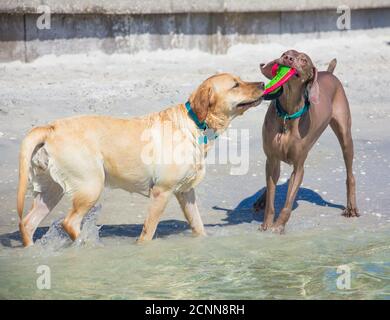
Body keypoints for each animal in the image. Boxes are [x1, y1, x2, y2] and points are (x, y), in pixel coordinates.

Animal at [253, 50, 360, 234]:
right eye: (285, 53)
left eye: (304, 60)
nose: (288, 58)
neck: (288, 113)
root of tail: (329, 73)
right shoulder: (272, 159)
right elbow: (272, 196)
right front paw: (267, 223)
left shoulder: (298, 167)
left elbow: (288, 202)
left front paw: (279, 225)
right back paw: (262, 199)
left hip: (345, 135)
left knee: (350, 173)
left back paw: (351, 207)